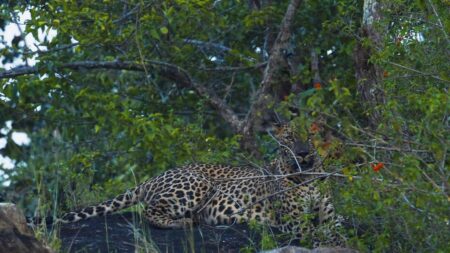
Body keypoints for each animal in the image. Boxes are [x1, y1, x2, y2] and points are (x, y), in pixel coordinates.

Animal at [54, 124, 342, 247]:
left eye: (309, 137)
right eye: (290, 138)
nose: (303, 153)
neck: (308, 175)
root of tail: (155, 176)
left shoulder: (331, 214)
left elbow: (336, 228)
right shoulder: (294, 220)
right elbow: (317, 231)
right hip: (197, 184)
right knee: (149, 212)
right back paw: (185, 222)